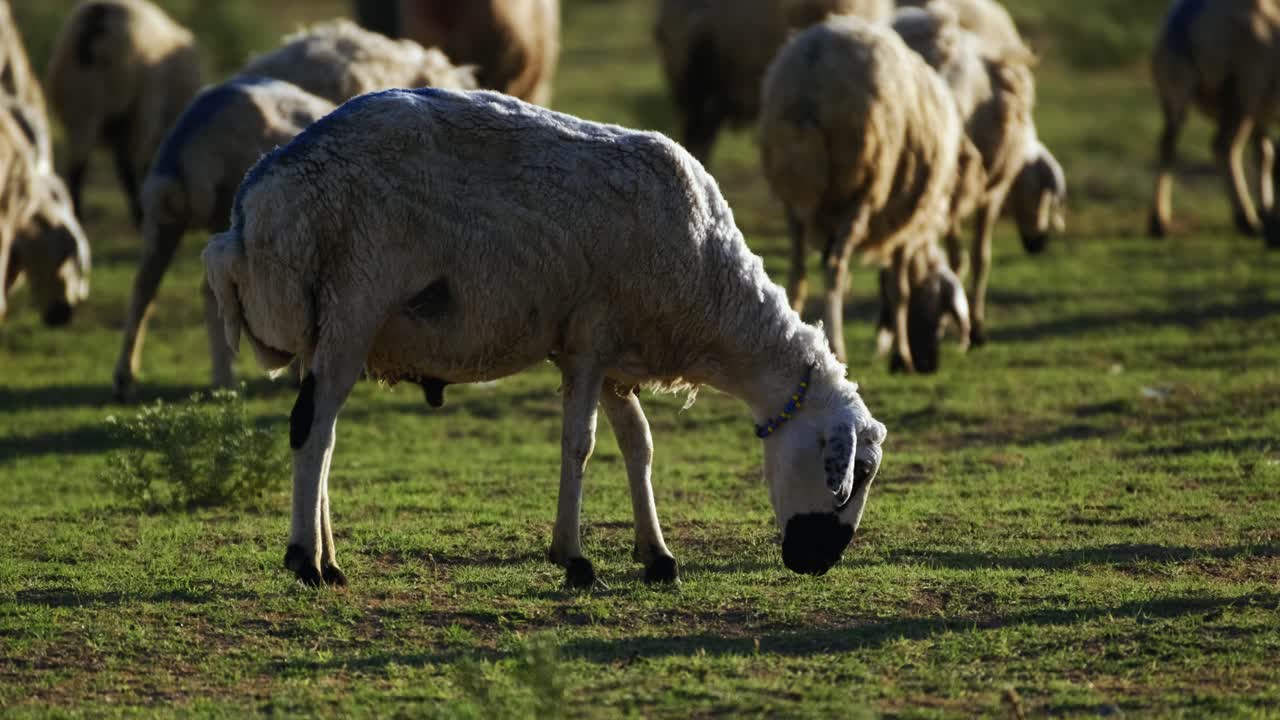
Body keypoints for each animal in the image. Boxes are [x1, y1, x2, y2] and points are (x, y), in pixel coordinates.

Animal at [46, 0, 202, 226]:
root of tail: (99, 17)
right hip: (136, 109)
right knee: (125, 163)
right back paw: (138, 214)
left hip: (83, 106)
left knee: (78, 167)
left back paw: (78, 216)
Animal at [202, 87, 889, 587]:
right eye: (856, 474)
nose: (817, 564)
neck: (714, 293)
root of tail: (247, 211)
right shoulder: (589, 338)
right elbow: (580, 444)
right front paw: (575, 561)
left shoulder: (611, 352)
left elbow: (638, 445)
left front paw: (657, 556)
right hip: (354, 301)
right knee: (312, 429)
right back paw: (306, 562)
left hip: (324, 328)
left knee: (322, 433)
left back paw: (328, 555)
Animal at [759, 16, 971, 372]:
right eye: (943, 318)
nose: (929, 365)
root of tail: (809, 75)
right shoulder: (905, 222)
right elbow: (899, 290)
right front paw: (902, 356)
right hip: (862, 190)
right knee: (834, 269)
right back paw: (838, 347)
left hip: (792, 195)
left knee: (798, 273)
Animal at [1149, 0, 1280, 248]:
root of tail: (1186, 20)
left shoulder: (1262, 116)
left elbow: (1264, 154)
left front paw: (1267, 210)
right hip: (1245, 88)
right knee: (1224, 146)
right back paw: (1246, 221)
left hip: (1174, 89)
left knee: (1167, 144)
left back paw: (1158, 222)